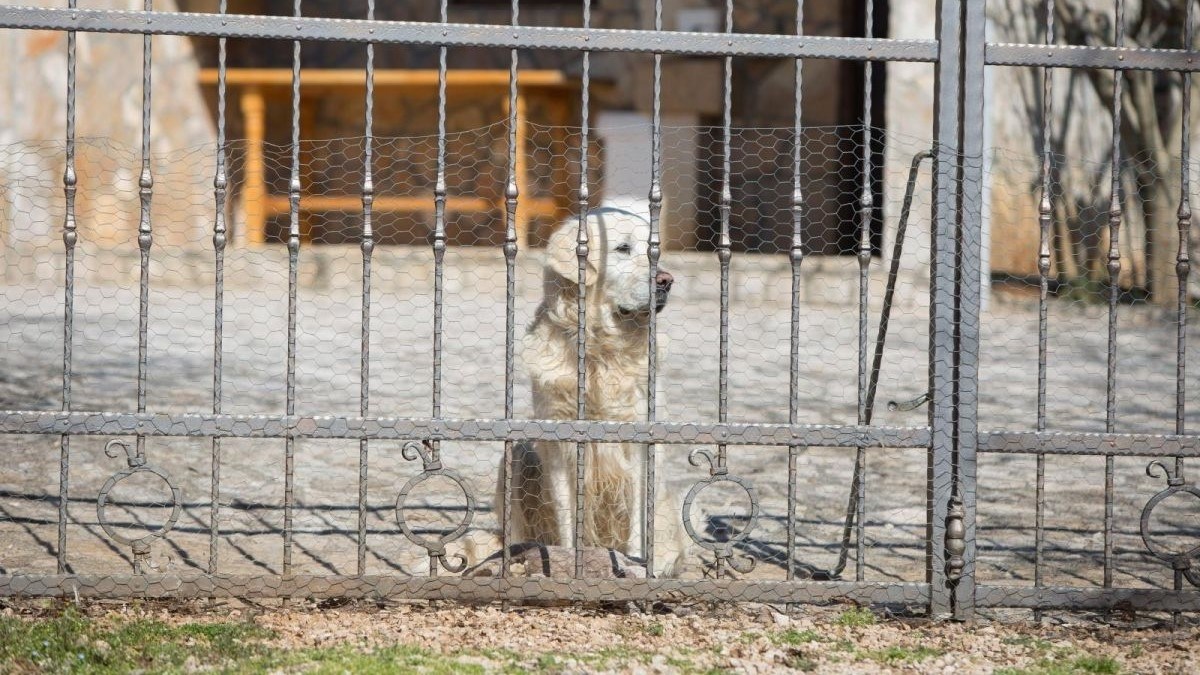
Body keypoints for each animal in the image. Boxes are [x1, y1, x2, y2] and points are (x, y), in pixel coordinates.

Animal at [496, 207, 686, 576]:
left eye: (652, 251)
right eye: (623, 248)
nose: (666, 281)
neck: (601, 349)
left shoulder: (639, 443)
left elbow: (638, 519)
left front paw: (637, 565)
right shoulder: (559, 443)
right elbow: (567, 515)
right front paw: (570, 562)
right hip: (518, 453)